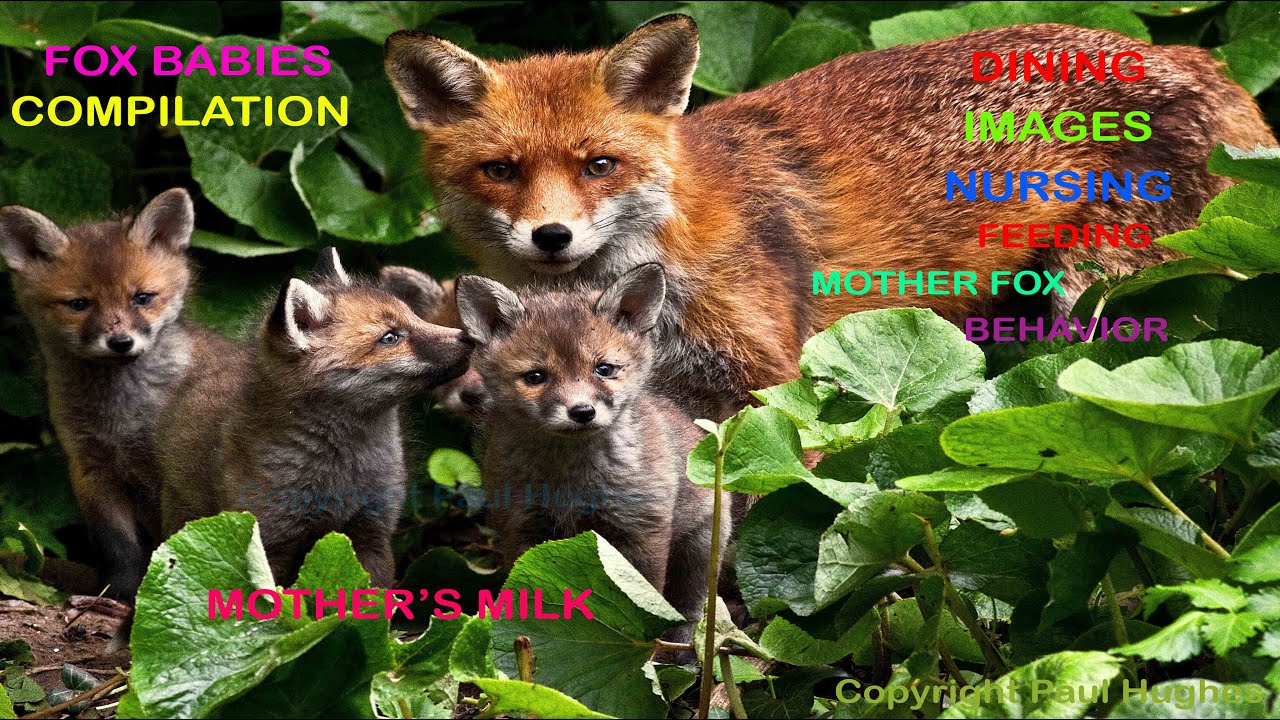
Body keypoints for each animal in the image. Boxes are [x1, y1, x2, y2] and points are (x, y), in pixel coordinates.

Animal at [0, 189, 227, 600]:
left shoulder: (174, 471)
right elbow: (116, 545)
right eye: (79, 304)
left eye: (142, 298)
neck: (121, 418)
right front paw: (118, 591)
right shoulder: (91, 468)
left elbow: (177, 542)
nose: (121, 343)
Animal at [156, 249, 472, 585]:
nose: (470, 338)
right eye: (390, 337)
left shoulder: (372, 534)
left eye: (414, 316)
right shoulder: (270, 544)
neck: (342, 477)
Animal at [385, 17, 1277, 419]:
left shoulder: (770, 388)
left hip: (1102, 302)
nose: (552, 237)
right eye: (502, 171)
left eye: (598, 165)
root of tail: (1190, 55)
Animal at [454, 263, 729, 639]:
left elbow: (645, 602)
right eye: (535, 377)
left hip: (700, 551)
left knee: (691, 606)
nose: (582, 411)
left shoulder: (640, 529)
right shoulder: (521, 527)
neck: (571, 483)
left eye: (604, 369)